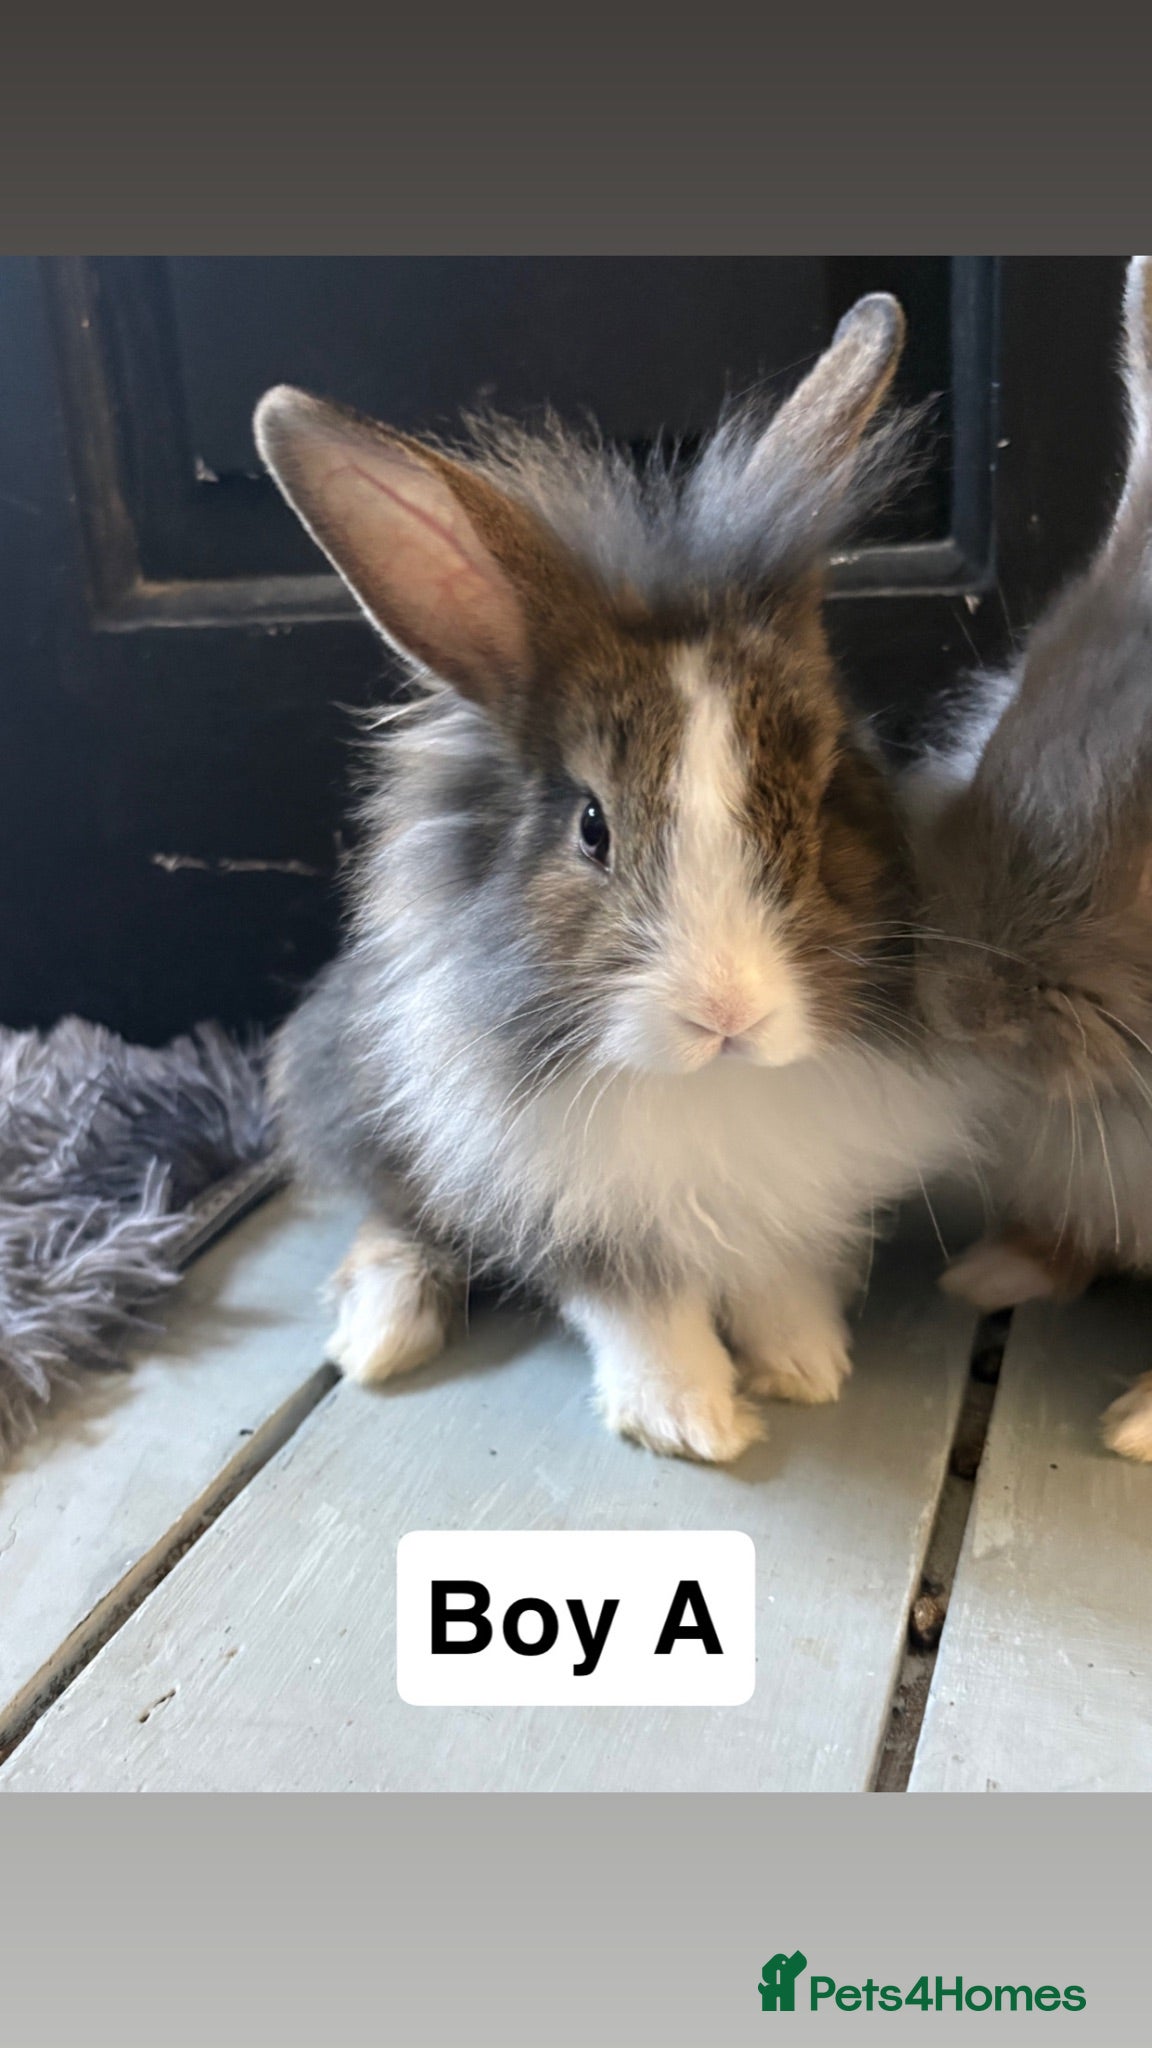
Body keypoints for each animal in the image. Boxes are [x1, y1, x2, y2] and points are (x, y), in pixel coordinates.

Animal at [253, 291, 977, 1466]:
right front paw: (690, 1418)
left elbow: (776, 1275)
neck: (712, 1088)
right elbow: (642, 1306)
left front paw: (806, 1366)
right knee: (396, 1216)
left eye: (825, 790)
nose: (728, 1013)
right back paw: (382, 1334)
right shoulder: (569, 1202)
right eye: (592, 826)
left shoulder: (788, 1196)